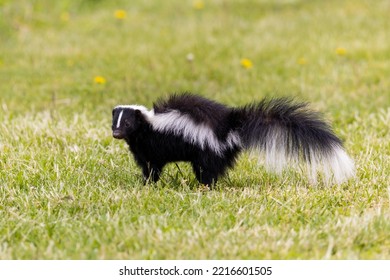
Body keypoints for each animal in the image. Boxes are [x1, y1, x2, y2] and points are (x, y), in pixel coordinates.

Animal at [111, 92, 354, 187]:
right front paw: (146, 182)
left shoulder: (152, 146)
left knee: (208, 170)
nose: (116, 134)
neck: (148, 124)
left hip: (207, 147)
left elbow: (152, 166)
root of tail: (229, 126)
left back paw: (204, 186)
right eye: (114, 122)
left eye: (127, 124)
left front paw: (148, 183)